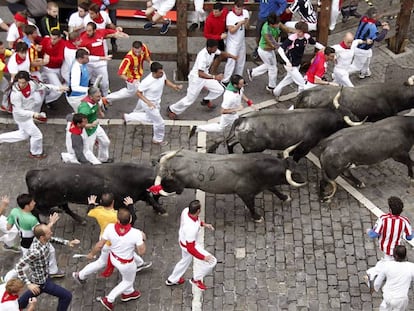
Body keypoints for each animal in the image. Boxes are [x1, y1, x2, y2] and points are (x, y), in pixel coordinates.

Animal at [25, 163, 167, 224]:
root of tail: (33, 173)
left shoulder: (138, 195)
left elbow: (150, 200)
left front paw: (161, 210)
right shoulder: (121, 204)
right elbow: (134, 216)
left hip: (61, 198)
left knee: (64, 207)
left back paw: (80, 220)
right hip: (44, 201)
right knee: (37, 210)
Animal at [151, 150, 304, 223]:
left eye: (297, 167)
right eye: (295, 174)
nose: (304, 180)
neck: (257, 168)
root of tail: (163, 157)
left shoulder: (265, 184)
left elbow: (274, 189)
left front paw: (285, 197)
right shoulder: (244, 193)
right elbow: (251, 206)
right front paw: (257, 217)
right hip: (169, 187)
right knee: (155, 193)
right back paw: (159, 210)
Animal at [207, 109, 362, 161]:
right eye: (345, 119)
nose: (358, 119)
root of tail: (242, 119)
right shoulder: (304, 147)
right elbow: (296, 158)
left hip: (242, 141)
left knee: (230, 143)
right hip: (253, 148)